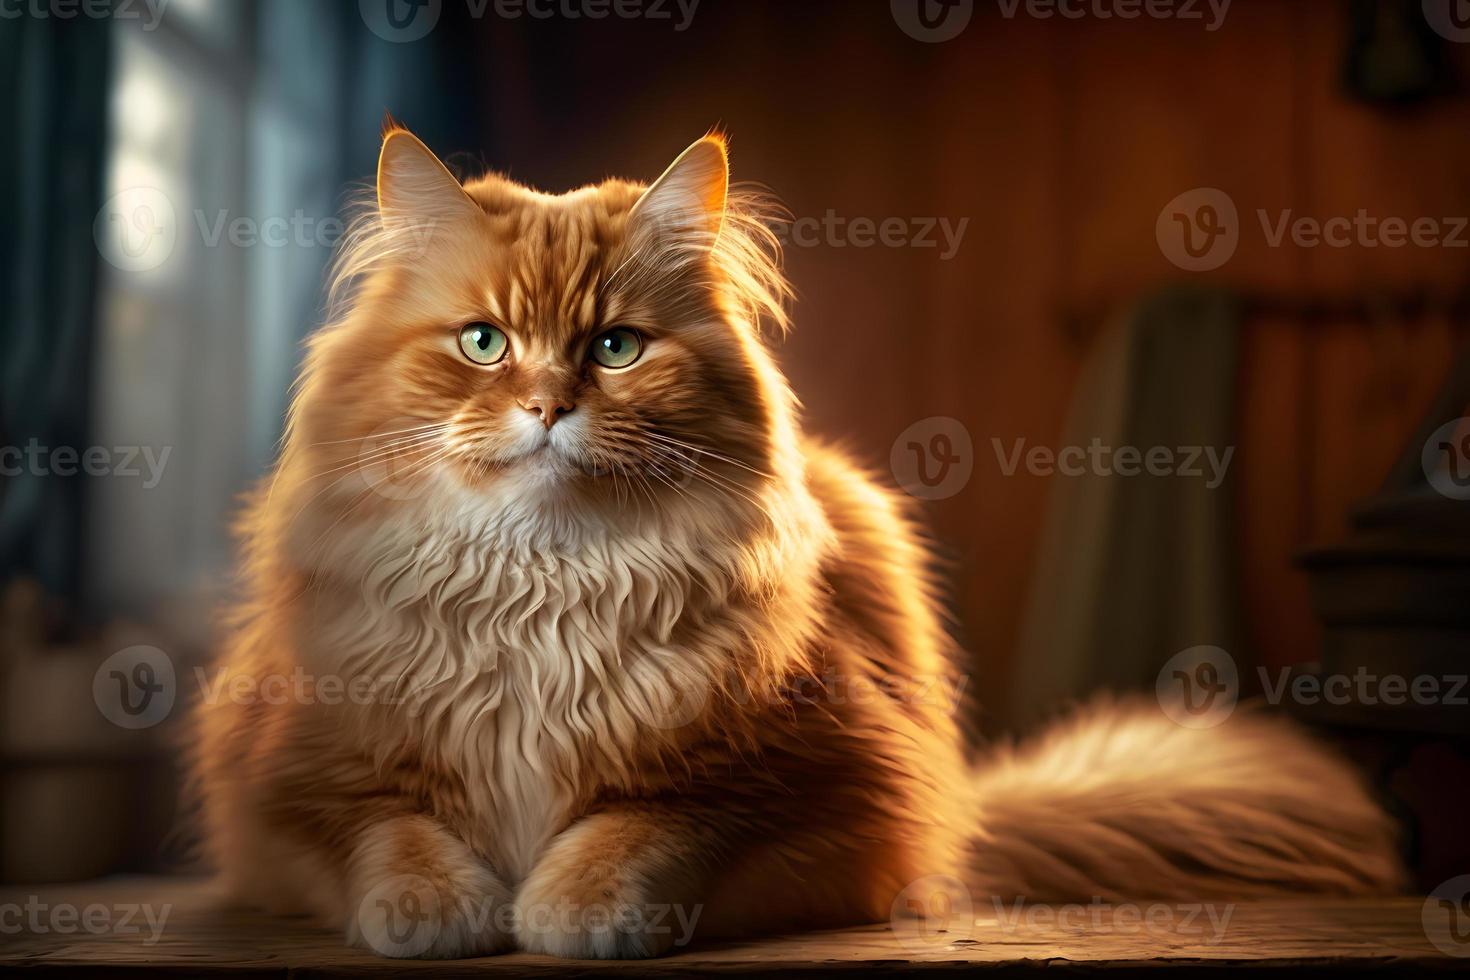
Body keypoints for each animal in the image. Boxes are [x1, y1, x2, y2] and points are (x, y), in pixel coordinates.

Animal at [192, 126, 1399, 963]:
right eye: (483, 343)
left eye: (617, 348)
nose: (546, 406)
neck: (547, 587)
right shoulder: (291, 788)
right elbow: (389, 836)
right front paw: (444, 909)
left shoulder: (812, 792)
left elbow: (637, 833)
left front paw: (568, 909)